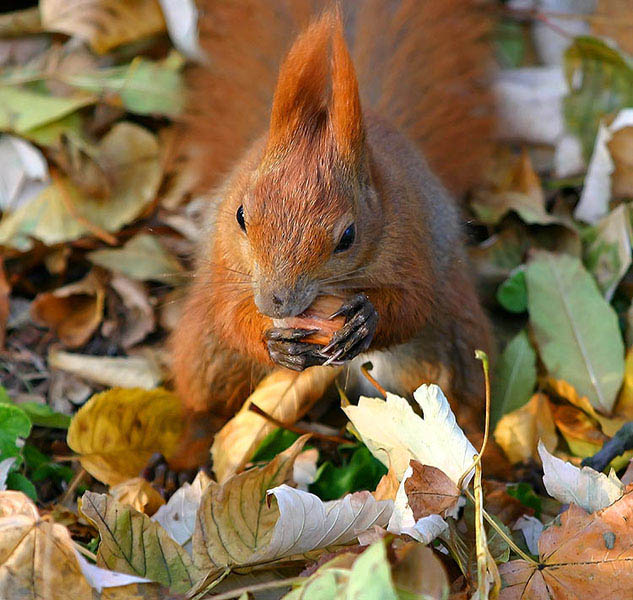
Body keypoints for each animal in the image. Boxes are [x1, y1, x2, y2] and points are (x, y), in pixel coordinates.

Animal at [167, 1, 494, 474]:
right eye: (241, 216)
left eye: (348, 236)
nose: (276, 303)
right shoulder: (226, 262)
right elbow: (230, 314)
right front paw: (273, 341)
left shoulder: (415, 241)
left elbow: (414, 304)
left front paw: (365, 319)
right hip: (207, 354)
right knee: (206, 397)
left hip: (451, 351)